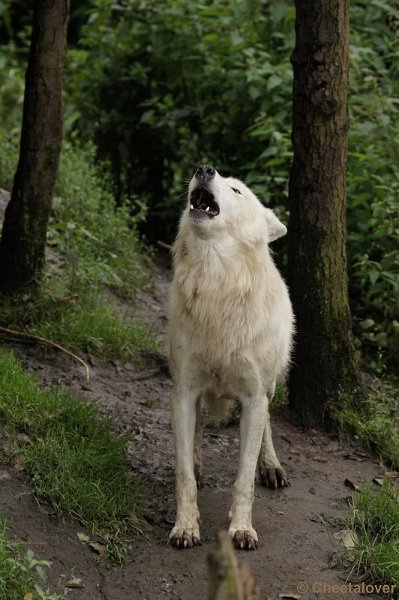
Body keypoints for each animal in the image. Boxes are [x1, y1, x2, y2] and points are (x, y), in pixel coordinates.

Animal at [168, 164, 294, 548]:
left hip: (269, 388)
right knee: (195, 433)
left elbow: (244, 479)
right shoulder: (183, 390)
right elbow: (183, 473)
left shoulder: (253, 397)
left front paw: (242, 529)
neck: (216, 279)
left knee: (268, 426)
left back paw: (271, 467)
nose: (204, 169)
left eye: (237, 191)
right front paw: (185, 527)